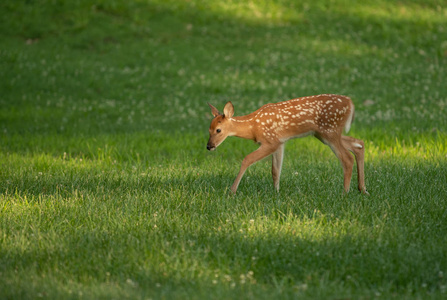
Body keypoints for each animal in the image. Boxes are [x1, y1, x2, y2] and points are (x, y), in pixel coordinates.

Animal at [208, 95, 370, 196]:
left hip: (330, 131)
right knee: (359, 144)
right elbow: (275, 170)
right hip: (323, 134)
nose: (209, 146)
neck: (253, 127)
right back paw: (362, 189)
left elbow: (247, 159)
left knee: (347, 158)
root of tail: (350, 103)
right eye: (208, 129)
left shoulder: (271, 141)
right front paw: (276, 192)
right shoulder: (280, 142)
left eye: (218, 130)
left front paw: (232, 191)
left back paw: (345, 193)